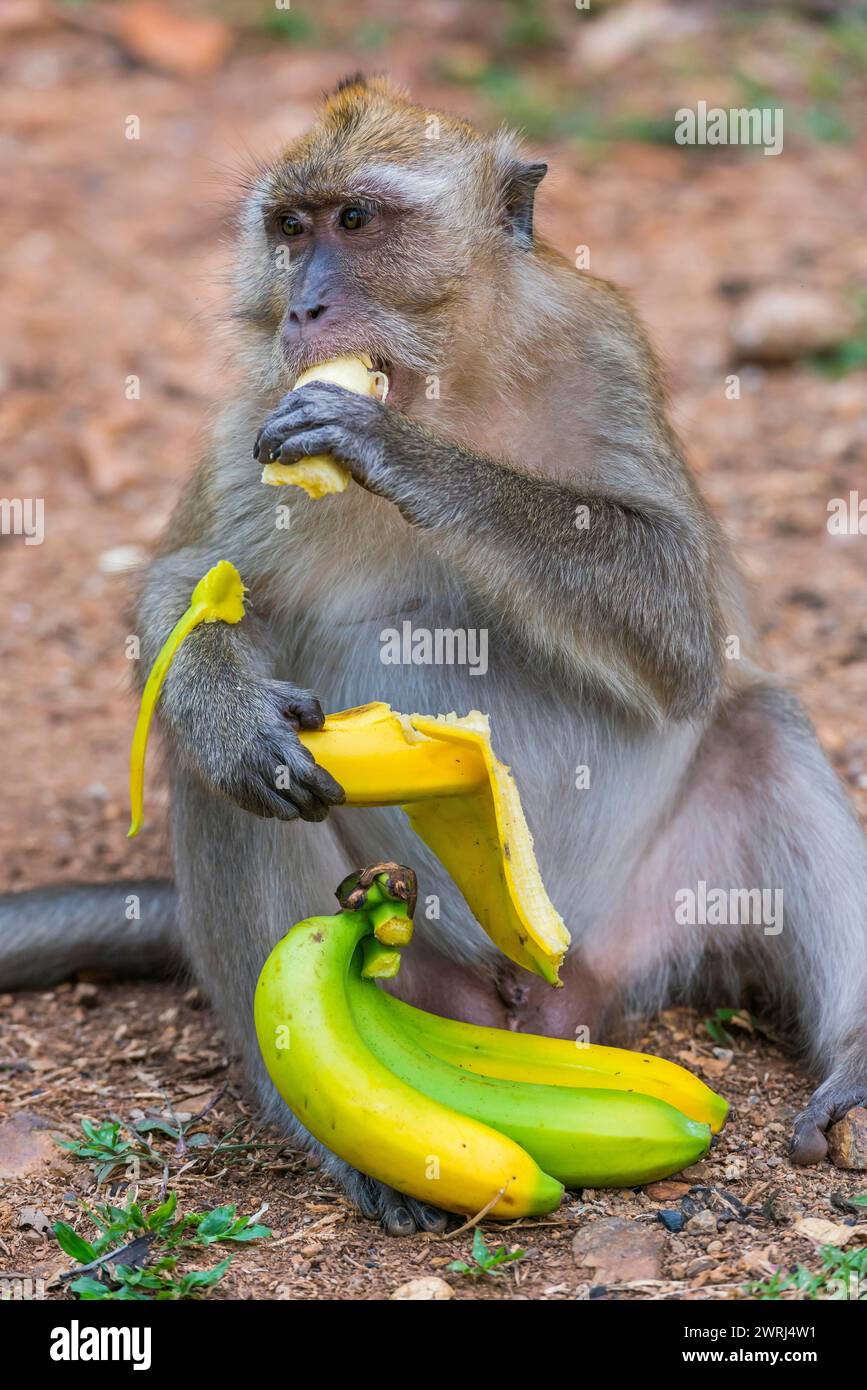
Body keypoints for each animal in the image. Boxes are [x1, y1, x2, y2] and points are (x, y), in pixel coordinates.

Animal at [1, 76, 867, 1234]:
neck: (447, 383)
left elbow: (684, 623)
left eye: (356, 221)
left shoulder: (605, 352)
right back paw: (334, 1126)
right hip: (417, 976)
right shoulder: (250, 415)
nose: (303, 310)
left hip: (663, 911)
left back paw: (855, 1063)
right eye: (289, 231)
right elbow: (185, 587)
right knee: (229, 787)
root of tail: (548, 999)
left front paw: (397, 454)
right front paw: (227, 709)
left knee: (760, 725)